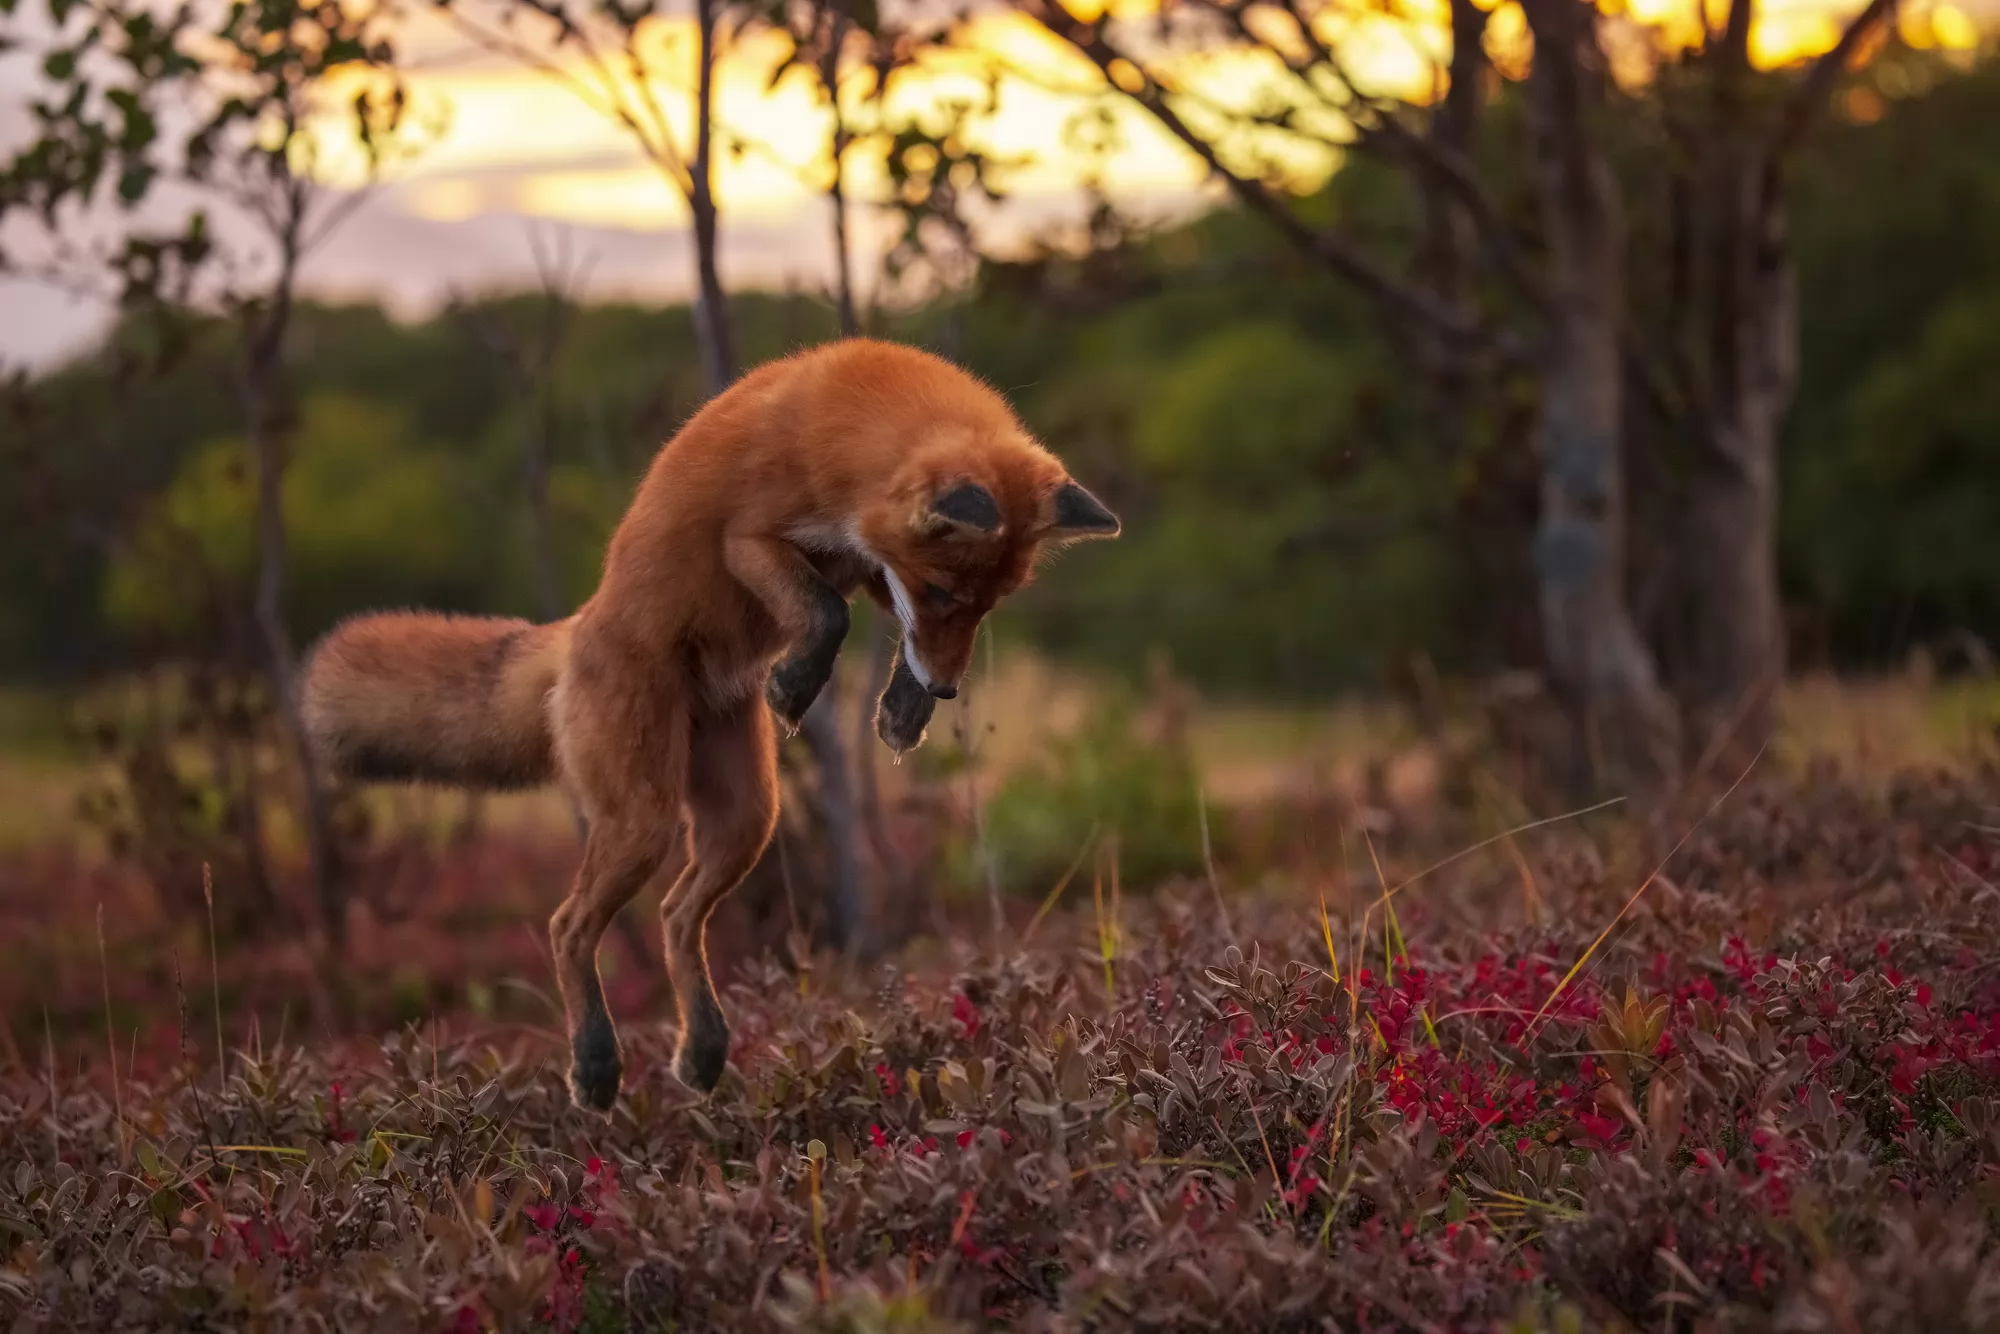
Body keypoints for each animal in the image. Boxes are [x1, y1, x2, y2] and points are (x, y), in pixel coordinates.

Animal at [298, 340, 1120, 1112]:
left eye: (990, 604)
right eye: (943, 590)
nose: (951, 689)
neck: (848, 428)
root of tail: (578, 630)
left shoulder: (864, 561)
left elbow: (879, 624)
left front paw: (903, 706)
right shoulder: (752, 539)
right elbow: (826, 611)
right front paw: (799, 682)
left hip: (745, 820)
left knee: (674, 915)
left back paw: (702, 1048)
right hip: (645, 819)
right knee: (569, 927)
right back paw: (595, 1061)